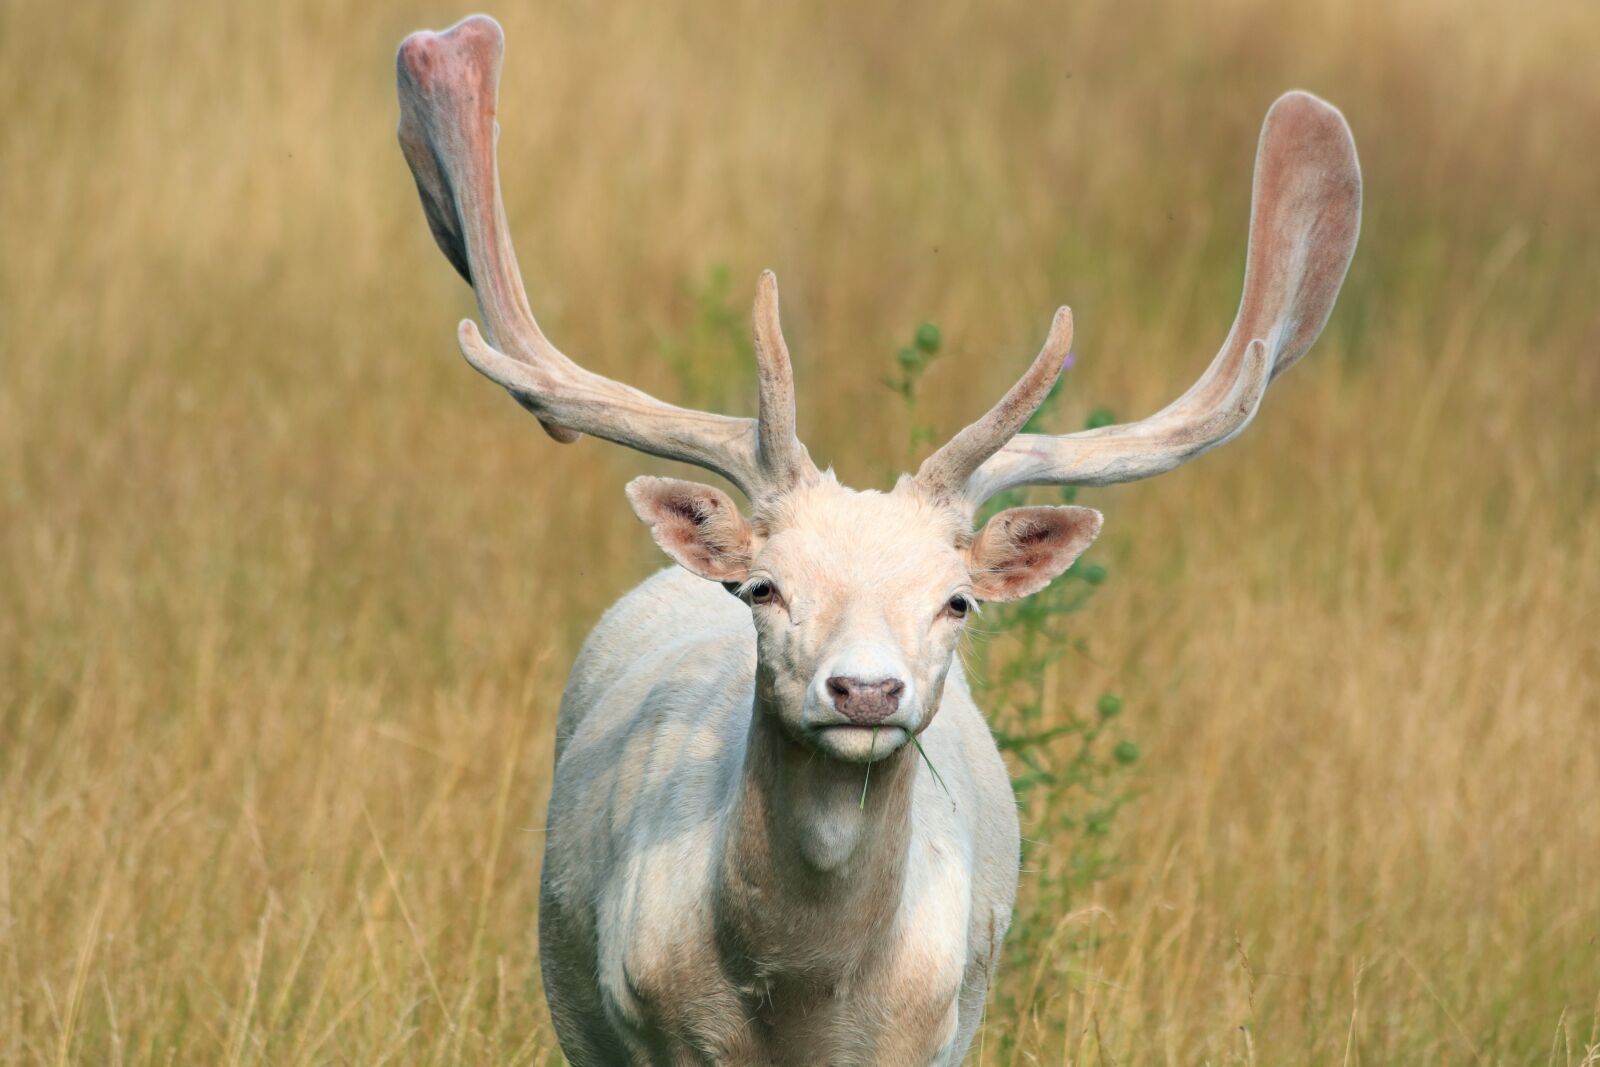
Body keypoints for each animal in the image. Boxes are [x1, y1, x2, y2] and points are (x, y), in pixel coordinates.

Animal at [393, 12, 1356, 1062]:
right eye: (765, 586)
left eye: (957, 600)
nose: (864, 689)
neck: (804, 1001)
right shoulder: (640, 1029)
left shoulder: (933, 1033)